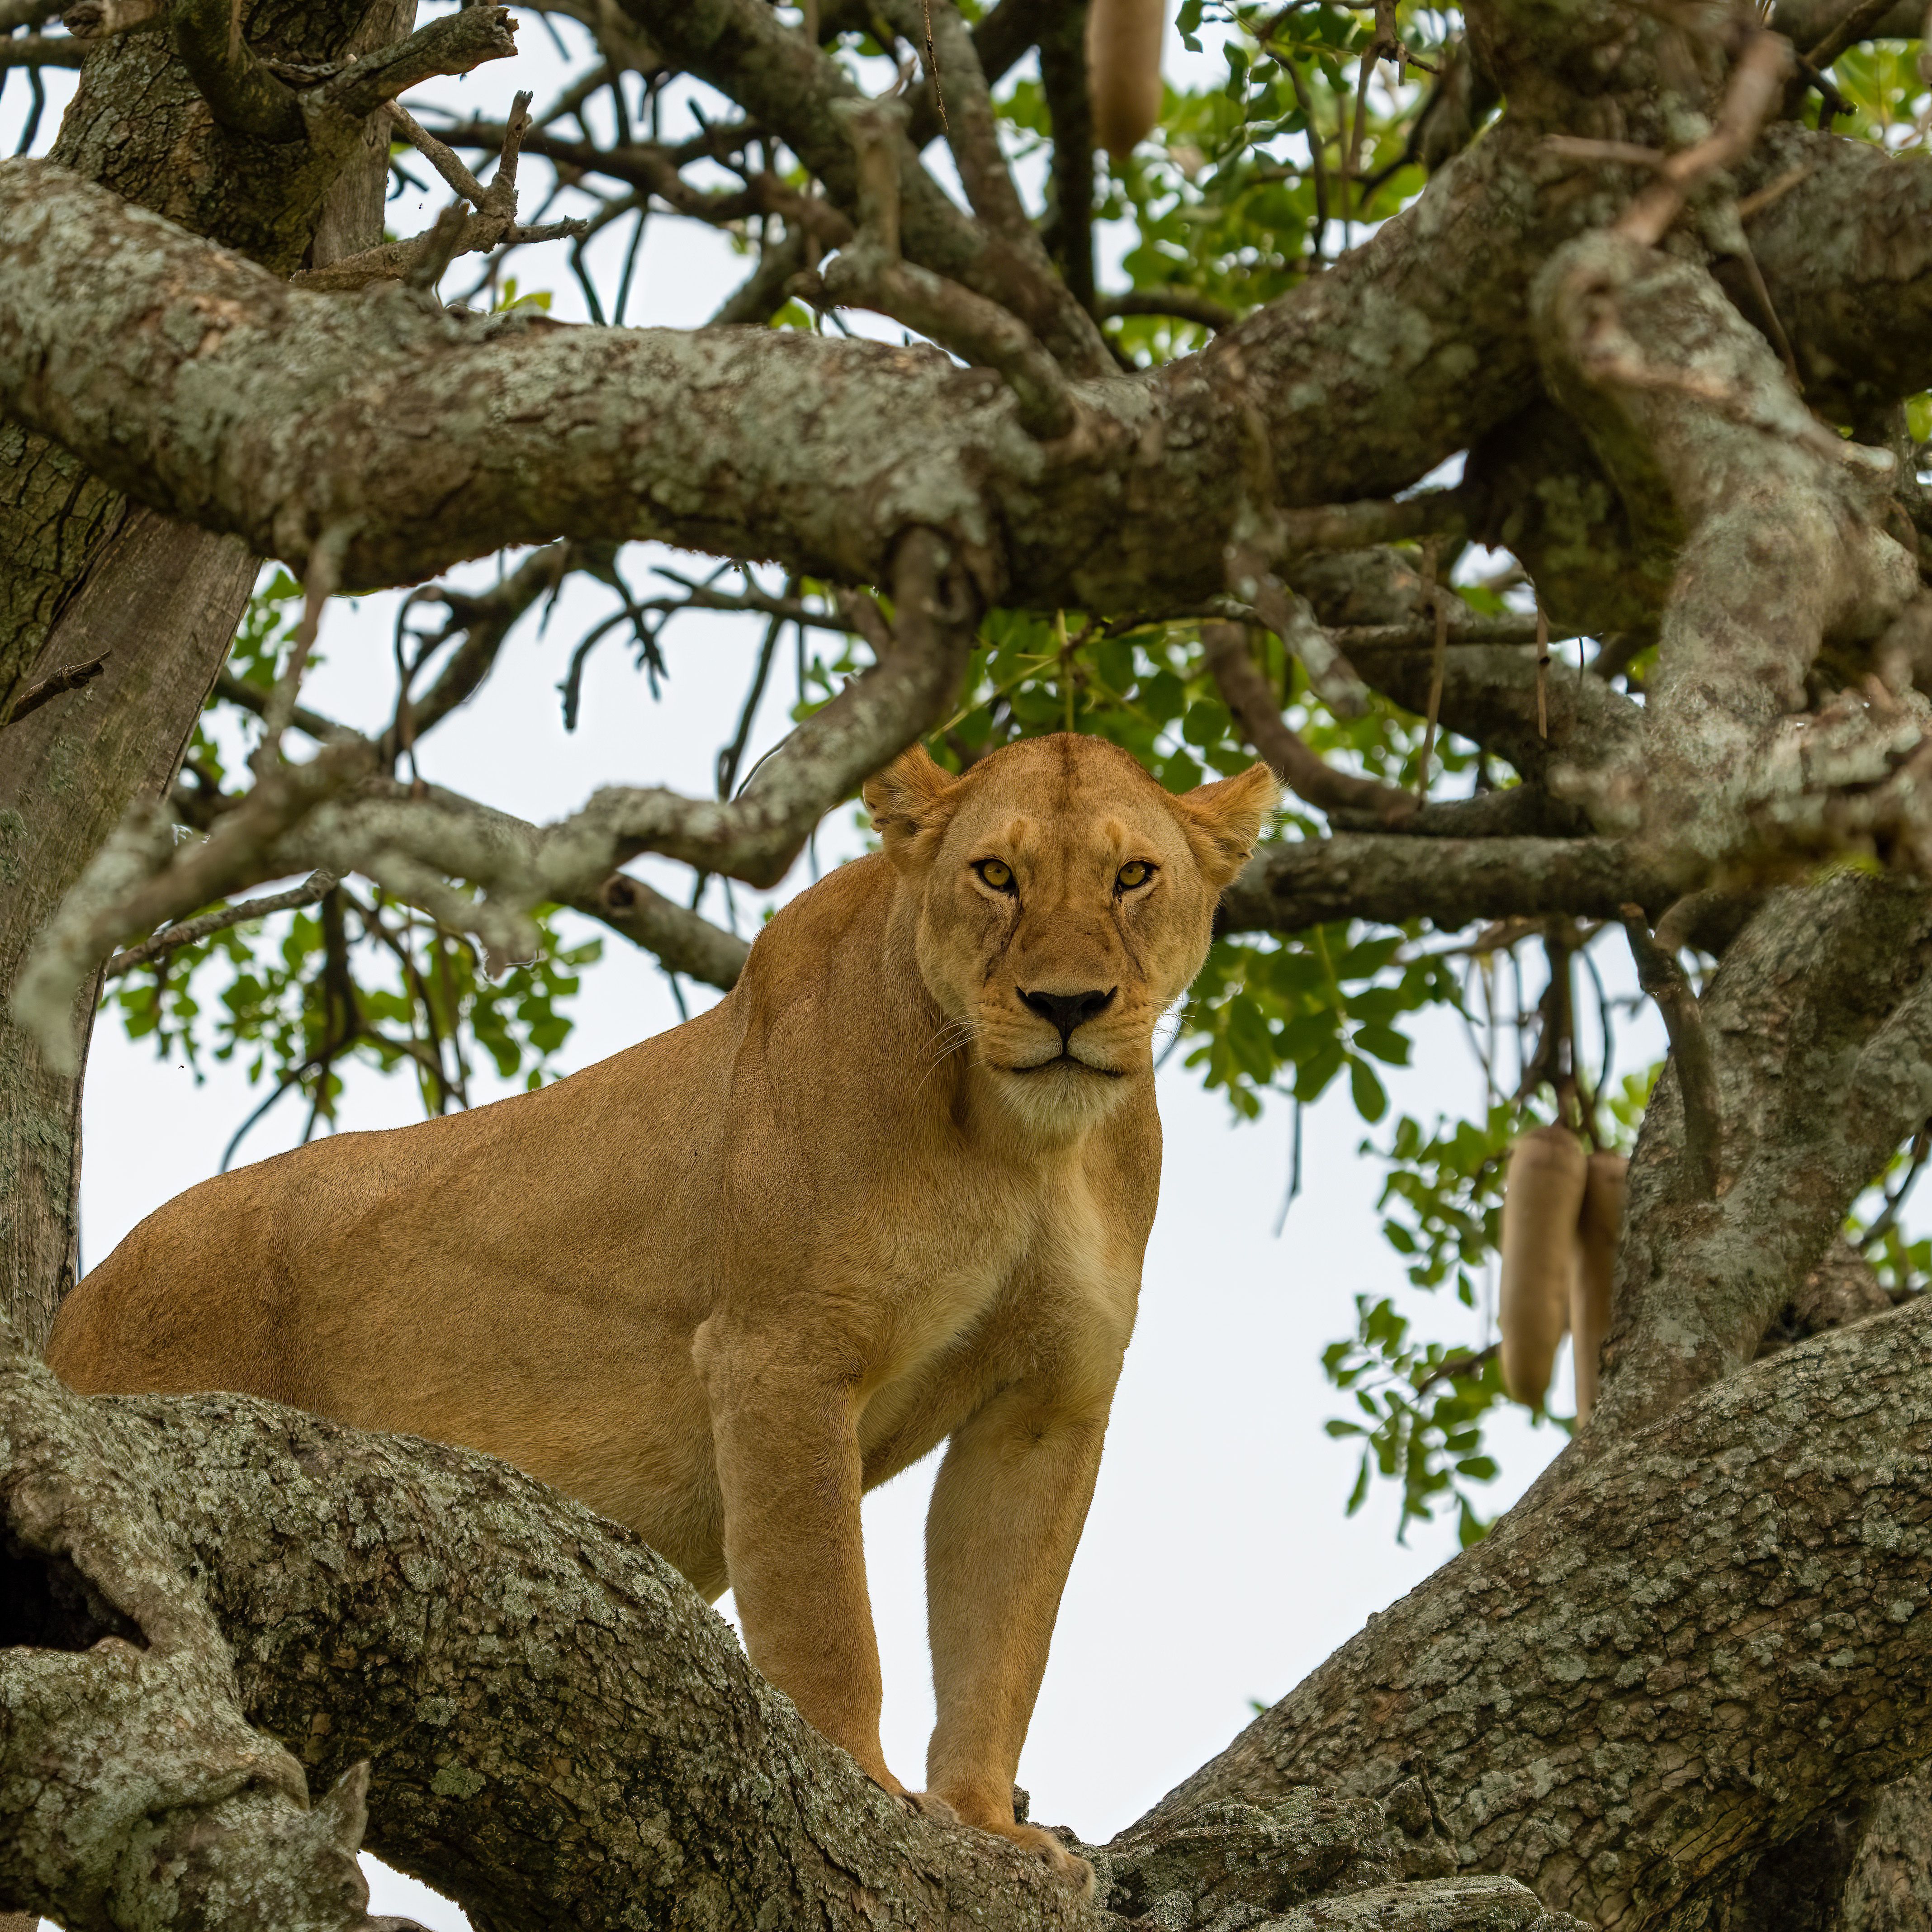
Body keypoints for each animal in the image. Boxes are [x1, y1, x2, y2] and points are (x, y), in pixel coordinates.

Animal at [48, 731, 1278, 1881]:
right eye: (995, 875)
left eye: (1132, 876)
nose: (1067, 1006)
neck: (1023, 1145)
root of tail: (78, 1302)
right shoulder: (781, 1354)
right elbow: (826, 1610)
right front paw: (863, 1786)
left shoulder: (1043, 1408)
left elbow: (1001, 1638)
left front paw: (984, 1824)